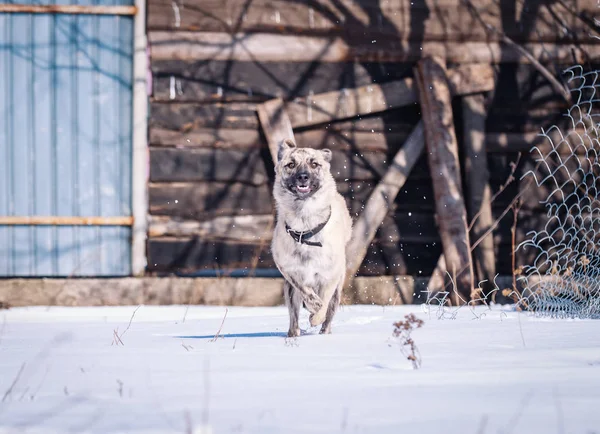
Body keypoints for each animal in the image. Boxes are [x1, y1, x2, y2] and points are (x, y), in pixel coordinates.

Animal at [270, 139, 352, 336]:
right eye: (291, 165)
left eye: (314, 164)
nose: (303, 177)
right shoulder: (290, 271)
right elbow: (305, 290)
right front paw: (313, 305)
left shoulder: (330, 276)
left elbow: (324, 301)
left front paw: (316, 316)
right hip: (289, 292)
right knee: (294, 317)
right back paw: (293, 333)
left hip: (337, 290)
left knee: (329, 315)